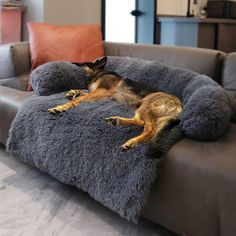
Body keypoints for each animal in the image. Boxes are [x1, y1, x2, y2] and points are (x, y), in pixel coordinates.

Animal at [48, 56, 183, 150]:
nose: (72, 62)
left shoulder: (102, 91)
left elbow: (79, 99)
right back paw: (116, 121)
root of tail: (179, 105)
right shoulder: (98, 92)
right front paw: (72, 92)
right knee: (139, 122)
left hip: (147, 104)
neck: (99, 73)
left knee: (151, 129)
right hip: (141, 107)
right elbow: (82, 91)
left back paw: (132, 142)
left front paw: (62, 107)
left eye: (84, 64)